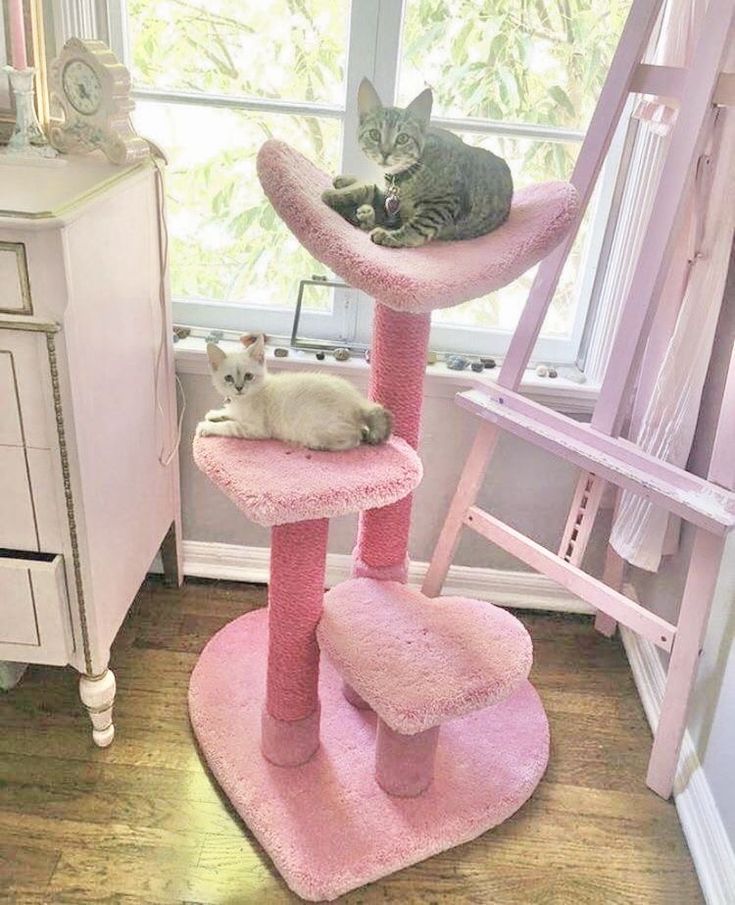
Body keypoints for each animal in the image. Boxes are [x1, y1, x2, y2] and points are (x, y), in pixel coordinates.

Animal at [193, 334, 394, 450]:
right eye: (228, 378)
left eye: (248, 376)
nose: (239, 388)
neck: (243, 400)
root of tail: (357, 403)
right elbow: (229, 414)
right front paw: (215, 414)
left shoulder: (256, 429)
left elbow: (230, 425)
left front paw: (207, 426)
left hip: (316, 427)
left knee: (355, 438)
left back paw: (320, 446)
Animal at [324, 77, 516, 245]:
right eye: (374, 134)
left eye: (402, 138)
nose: (385, 153)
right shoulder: (389, 199)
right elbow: (367, 189)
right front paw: (335, 194)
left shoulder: (442, 204)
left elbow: (417, 227)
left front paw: (391, 236)